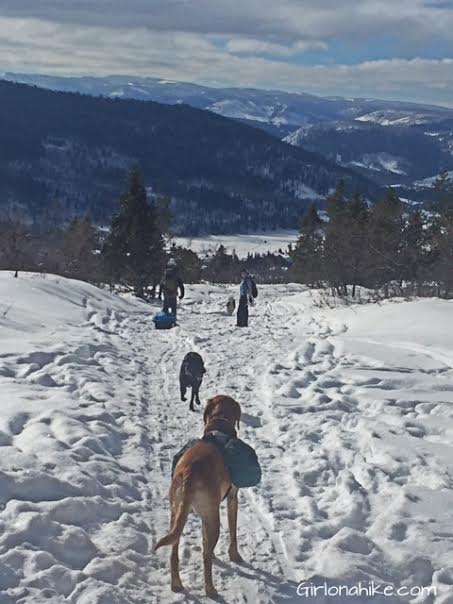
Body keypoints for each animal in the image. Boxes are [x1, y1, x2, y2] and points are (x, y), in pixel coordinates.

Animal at [154, 394, 242, 596]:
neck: (219, 423)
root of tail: (189, 473)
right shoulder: (232, 498)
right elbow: (233, 532)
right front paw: (234, 556)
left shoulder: (205, 515)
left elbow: (204, 539)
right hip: (213, 518)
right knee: (205, 558)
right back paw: (211, 590)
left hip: (177, 514)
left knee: (174, 553)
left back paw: (176, 585)